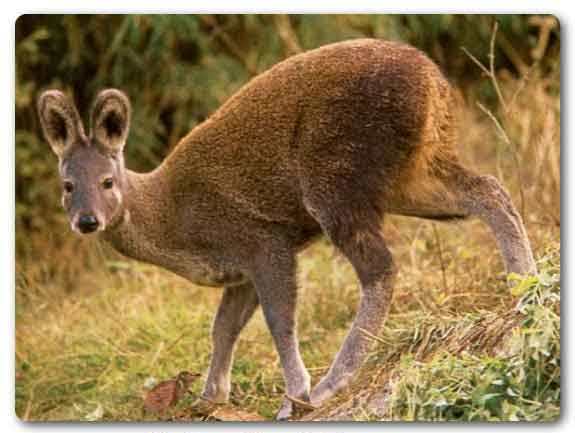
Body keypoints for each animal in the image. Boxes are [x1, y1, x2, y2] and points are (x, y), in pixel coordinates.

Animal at [38, 38, 536, 418]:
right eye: (66, 185)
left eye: (107, 181)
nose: (87, 220)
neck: (174, 221)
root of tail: (434, 82)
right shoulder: (239, 272)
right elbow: (222, 328)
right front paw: (209, 398)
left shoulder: (263, 241)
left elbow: (280, 321)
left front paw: (294, 396)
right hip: (408, 175)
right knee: (488, 189)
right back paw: (524, 286)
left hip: (334, 174)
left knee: (381, 268)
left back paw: (332, 382)